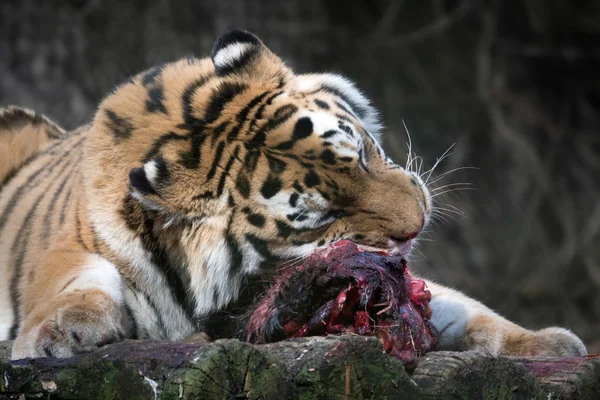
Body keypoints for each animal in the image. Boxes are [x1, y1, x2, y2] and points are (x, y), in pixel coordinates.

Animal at [0, 29, 584, 358]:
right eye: (323, 216)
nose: (418, 223)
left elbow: (461, 306)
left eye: (363, 153)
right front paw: (60, 331)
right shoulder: (76, 251)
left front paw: (549, 343)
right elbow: (77, 277)